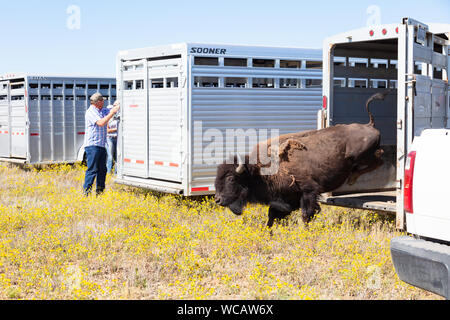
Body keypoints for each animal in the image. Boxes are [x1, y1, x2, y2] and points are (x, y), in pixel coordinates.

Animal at [214, 92, 386, 228]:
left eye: (231, 178)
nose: (217, 199)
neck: (258, 169)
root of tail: (369, 125)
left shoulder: (308, 191)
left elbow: (306, 214)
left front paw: (306, 230)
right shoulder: (287, 198)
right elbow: (272, 215)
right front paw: (268, 232)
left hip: (362, 155)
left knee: (379, 159)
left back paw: (352, 178)